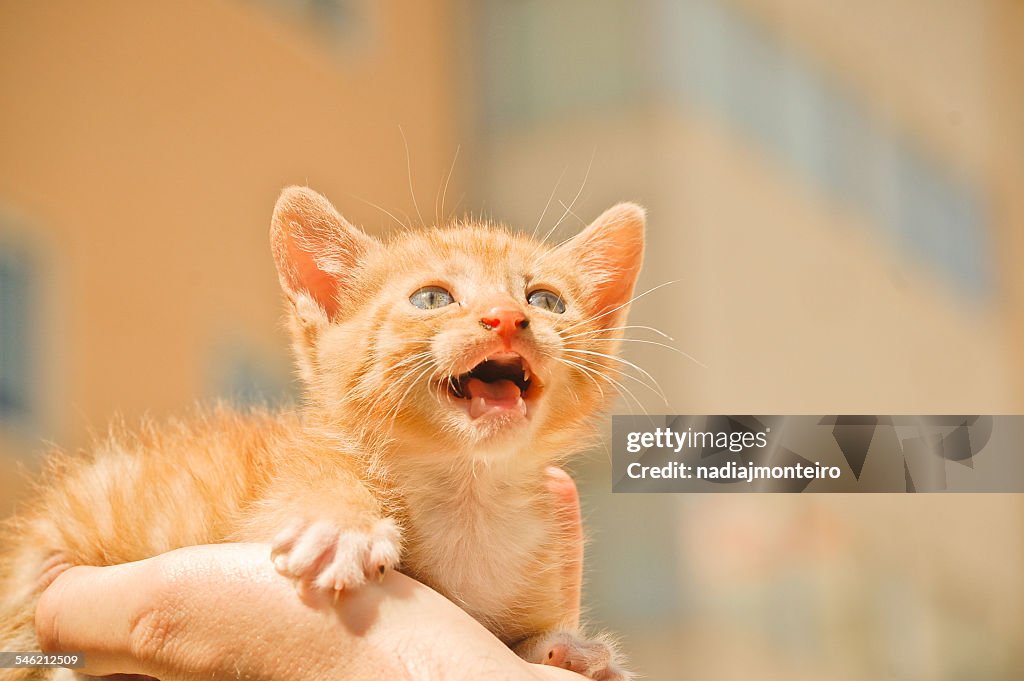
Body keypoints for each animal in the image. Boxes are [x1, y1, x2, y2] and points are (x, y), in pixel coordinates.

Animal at [0, 186, 638, 679]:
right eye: (431, 297)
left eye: (546, 300)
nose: (507, 318)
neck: (468, 493)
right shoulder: (273, 489)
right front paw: (339, 523)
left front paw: (574, 651)